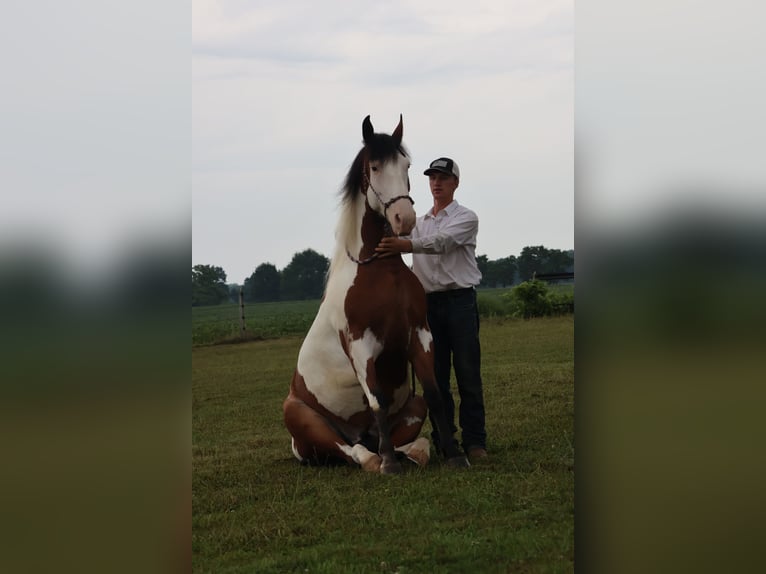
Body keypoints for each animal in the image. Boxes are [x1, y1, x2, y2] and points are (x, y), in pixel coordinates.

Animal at [283, 115, 470, 474]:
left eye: (406, 165)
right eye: (375, 166)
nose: (404, 218)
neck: (379, 271)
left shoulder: (420, 334)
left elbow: (436, 393)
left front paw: (455, 455)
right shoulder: (360, 344)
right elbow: (377, 401)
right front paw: (389, 465)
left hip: (412, 405)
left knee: (410, 436)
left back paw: (408, 452)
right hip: (300, 417)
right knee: (350, 450)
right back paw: (377, 458)